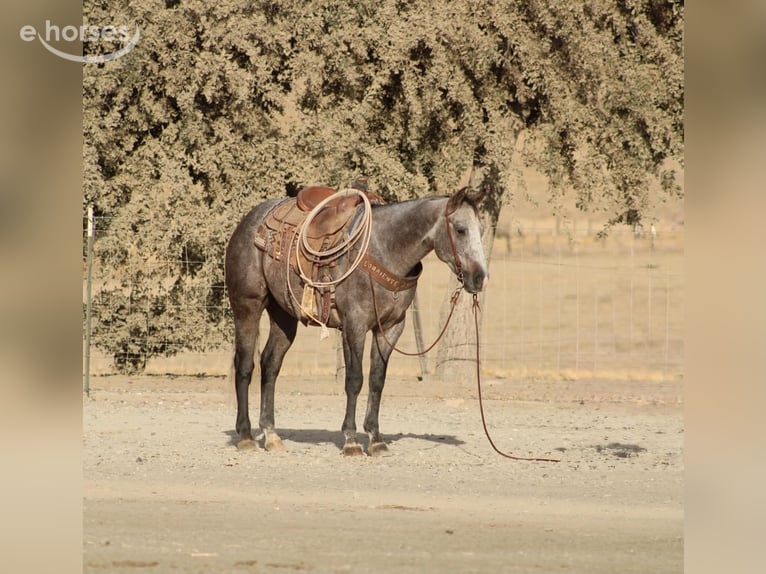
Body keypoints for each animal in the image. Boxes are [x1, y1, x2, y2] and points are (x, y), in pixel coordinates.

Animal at [224, 186, 488, 456]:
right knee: (245, 365)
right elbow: (354, 380)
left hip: (283, 316)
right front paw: (351, 440)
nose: (480, 278)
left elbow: (376, 380)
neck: (385, 250)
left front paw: (376, 438)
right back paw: (245, 436)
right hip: (247, 306)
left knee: (270, 364)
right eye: (460, 229)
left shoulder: (391, 328)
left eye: (481, 229)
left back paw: (271, 434)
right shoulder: (355, 324)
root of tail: (249, 221)